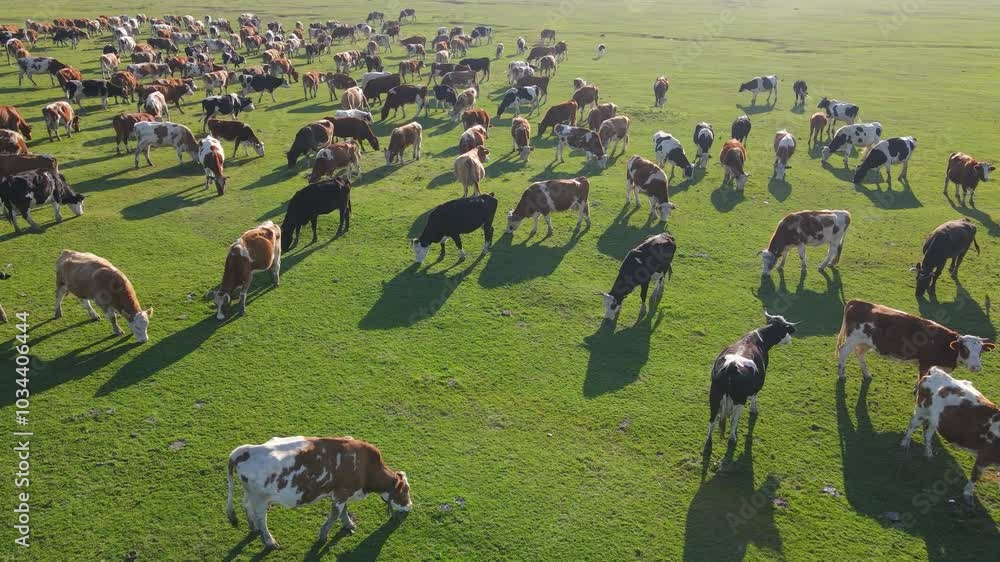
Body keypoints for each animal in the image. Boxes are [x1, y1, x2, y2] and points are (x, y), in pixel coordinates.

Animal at [226, 435, 411, 548]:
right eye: (406, 490)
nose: (410, 506)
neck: (366, 467)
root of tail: (242, 450)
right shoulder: (342, 493)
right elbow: (335, 514)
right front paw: (323, 535)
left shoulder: (343, 494)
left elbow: (344, 511)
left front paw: (349, 524)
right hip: (261, 499)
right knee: (261, 518)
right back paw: (269, 541)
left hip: (250, 493)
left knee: (246, 505)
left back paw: (253, 527)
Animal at [705, 313, 797, 448]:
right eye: (786, 329)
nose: (790, 339)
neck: (758, 339)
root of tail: (731, 366)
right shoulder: (758, 384)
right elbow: (754, 397)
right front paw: (754, 410)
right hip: (739, 399)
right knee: (733, 421)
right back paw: (733, 438)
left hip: (715, 396)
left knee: (712, 420)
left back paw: (708, 442)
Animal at [836, 300, 995, 380]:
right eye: (964, 349)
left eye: (980, 351)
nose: (976, 367)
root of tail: (859, 302)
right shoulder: (924, 364)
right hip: (852, 339)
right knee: (843, 353)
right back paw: (842, 375)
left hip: (866, 342)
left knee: (860, 354)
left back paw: (866, 374)